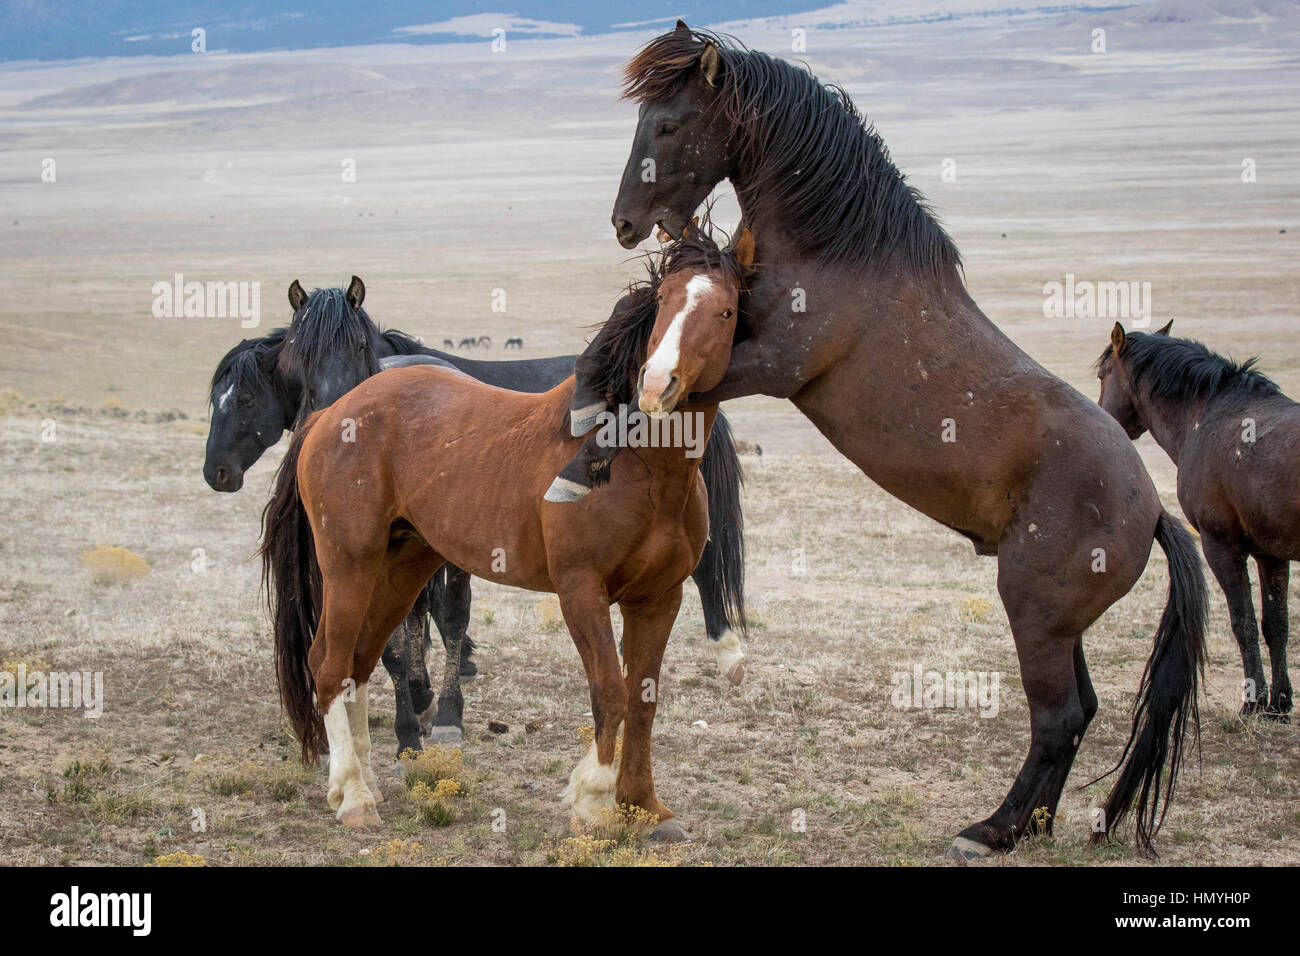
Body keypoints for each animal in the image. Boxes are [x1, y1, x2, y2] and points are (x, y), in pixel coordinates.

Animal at [608, 22, 1206, 858]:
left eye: (667, 125)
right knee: (1080, 711)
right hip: (1062, 624)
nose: (625, 223)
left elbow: (676, 382)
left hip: (1034, 611)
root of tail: (1152, 511)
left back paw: (989, 830)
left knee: (1057, 718)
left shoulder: (766, 365)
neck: (838, 252)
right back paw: (1033, 826)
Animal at [1097, 321, 1300, 717]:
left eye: (1102, 375)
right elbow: (1276, 625)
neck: (1208, 415)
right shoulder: (1271, 554)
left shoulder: (1221, 546)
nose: (1101, 421)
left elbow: (1243, 623)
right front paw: (1279, 703)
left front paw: (1253, 702)